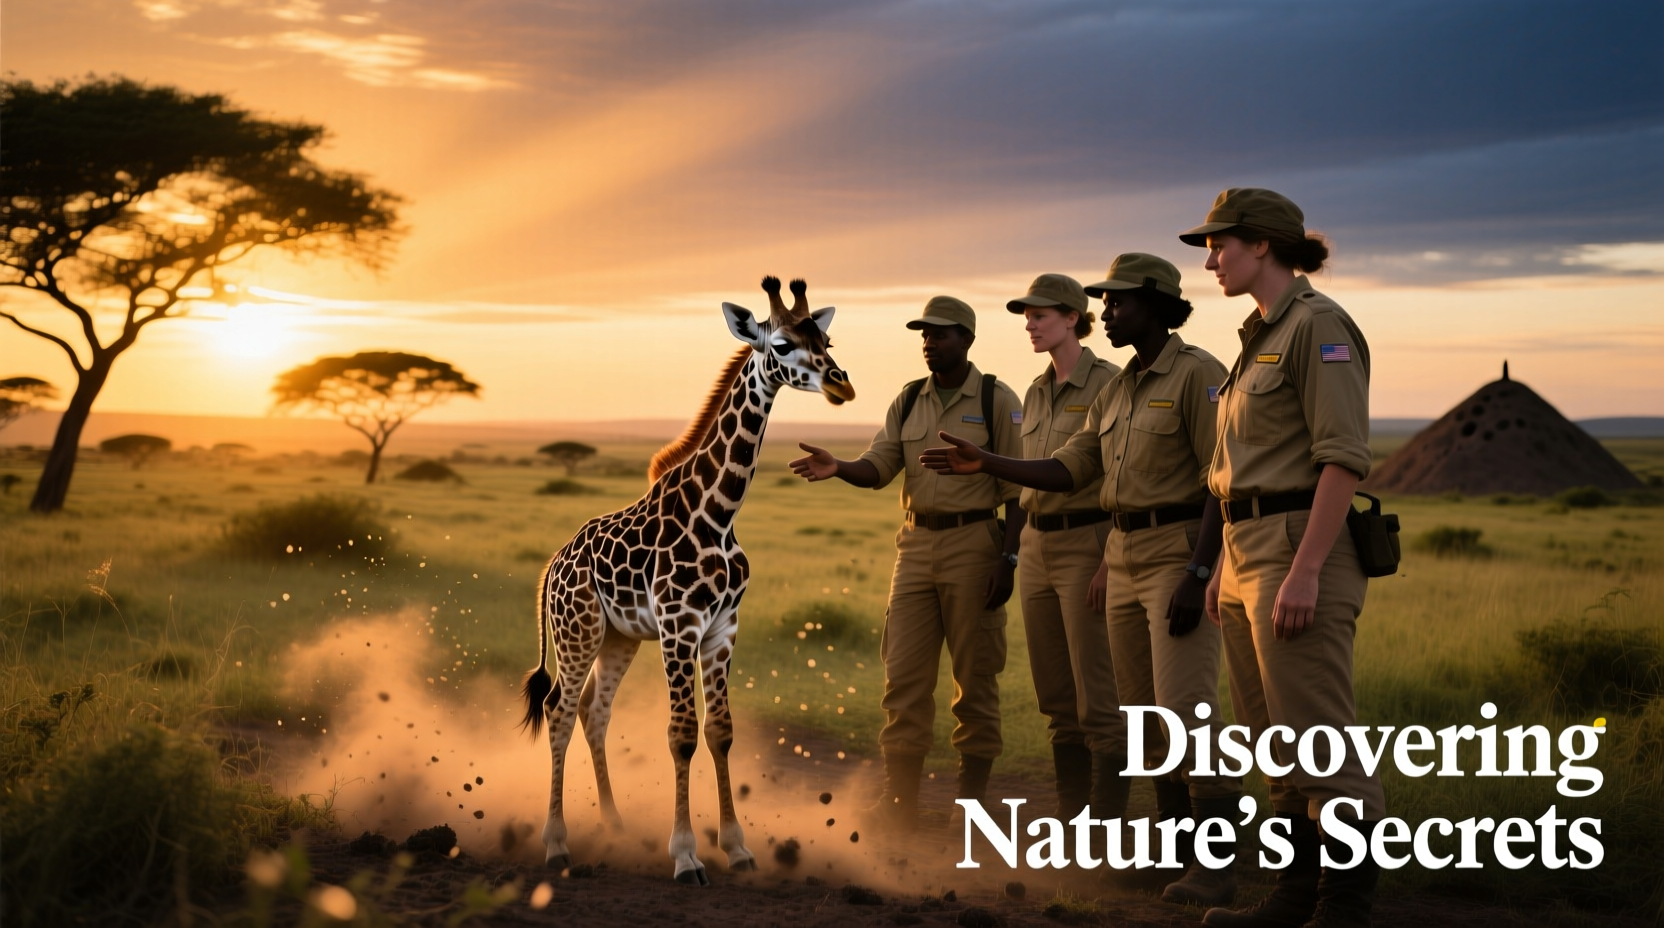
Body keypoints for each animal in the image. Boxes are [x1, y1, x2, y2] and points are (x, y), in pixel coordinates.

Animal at [520, 277, 855, 884]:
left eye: (826, 339)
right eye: (780, 345)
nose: (842, 384)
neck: (719, 513)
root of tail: (551, 567)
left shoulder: (722, 628)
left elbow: (720, 731)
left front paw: (738, 849)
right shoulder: (680, 626)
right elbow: (681, 736)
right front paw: (685, 855)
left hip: (619, 637)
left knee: (593, 713)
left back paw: (614, 825)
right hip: (577, 631)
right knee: (559, 711)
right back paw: (557, 845)